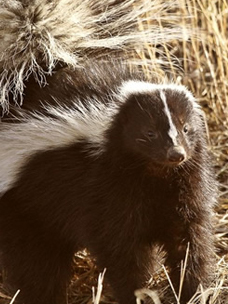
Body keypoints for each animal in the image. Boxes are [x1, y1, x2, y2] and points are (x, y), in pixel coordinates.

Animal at [0, 0, 217, 304]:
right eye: (148, 133)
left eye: (186, 128)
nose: (176, 154)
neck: (155, 175)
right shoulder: (106, 189)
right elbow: (123, 250)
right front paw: (137, 293)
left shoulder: (185, 185)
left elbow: (188, 239)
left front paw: (194, 291)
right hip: (24, 204)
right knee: (35, 262)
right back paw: (39, 296)